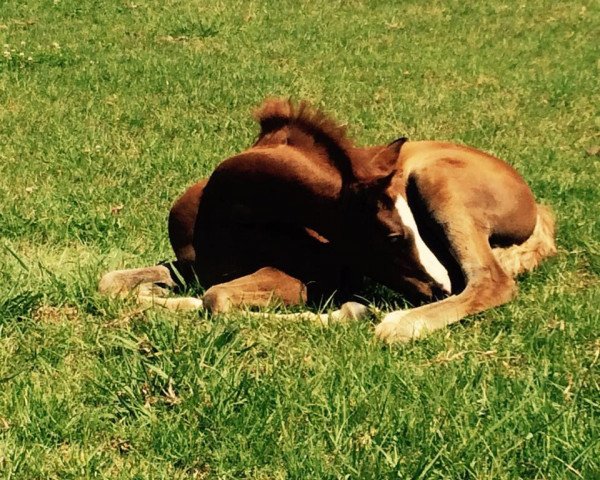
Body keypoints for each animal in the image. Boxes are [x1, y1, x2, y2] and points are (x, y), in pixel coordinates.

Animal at [101, 99, 556, 344]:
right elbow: (112, 283)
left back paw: (399, 325)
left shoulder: (298, 277)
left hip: (435, 179)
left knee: (491, 280)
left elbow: (217, 299)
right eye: (393, 235)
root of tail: (539, 210)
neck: (222, 213)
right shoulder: (190, 265)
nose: (439, 287)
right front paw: (154, 296)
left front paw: (354, 310)